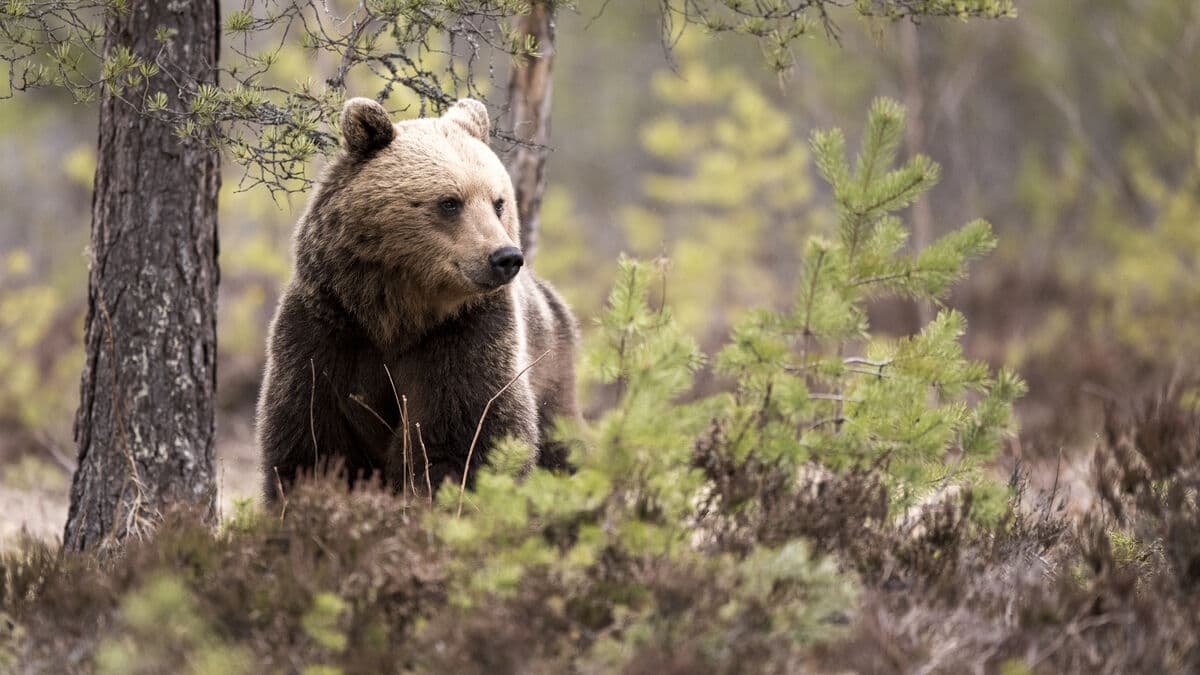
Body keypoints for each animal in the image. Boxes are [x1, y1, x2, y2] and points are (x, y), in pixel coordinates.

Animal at [256, 97, 578, 501]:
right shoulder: (328, 329)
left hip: (550, 367)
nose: (505, 257)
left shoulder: (464, 335)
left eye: (498, 202)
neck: (397, 313)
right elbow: (311, 438)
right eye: (450, 202)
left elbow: (462, 437)